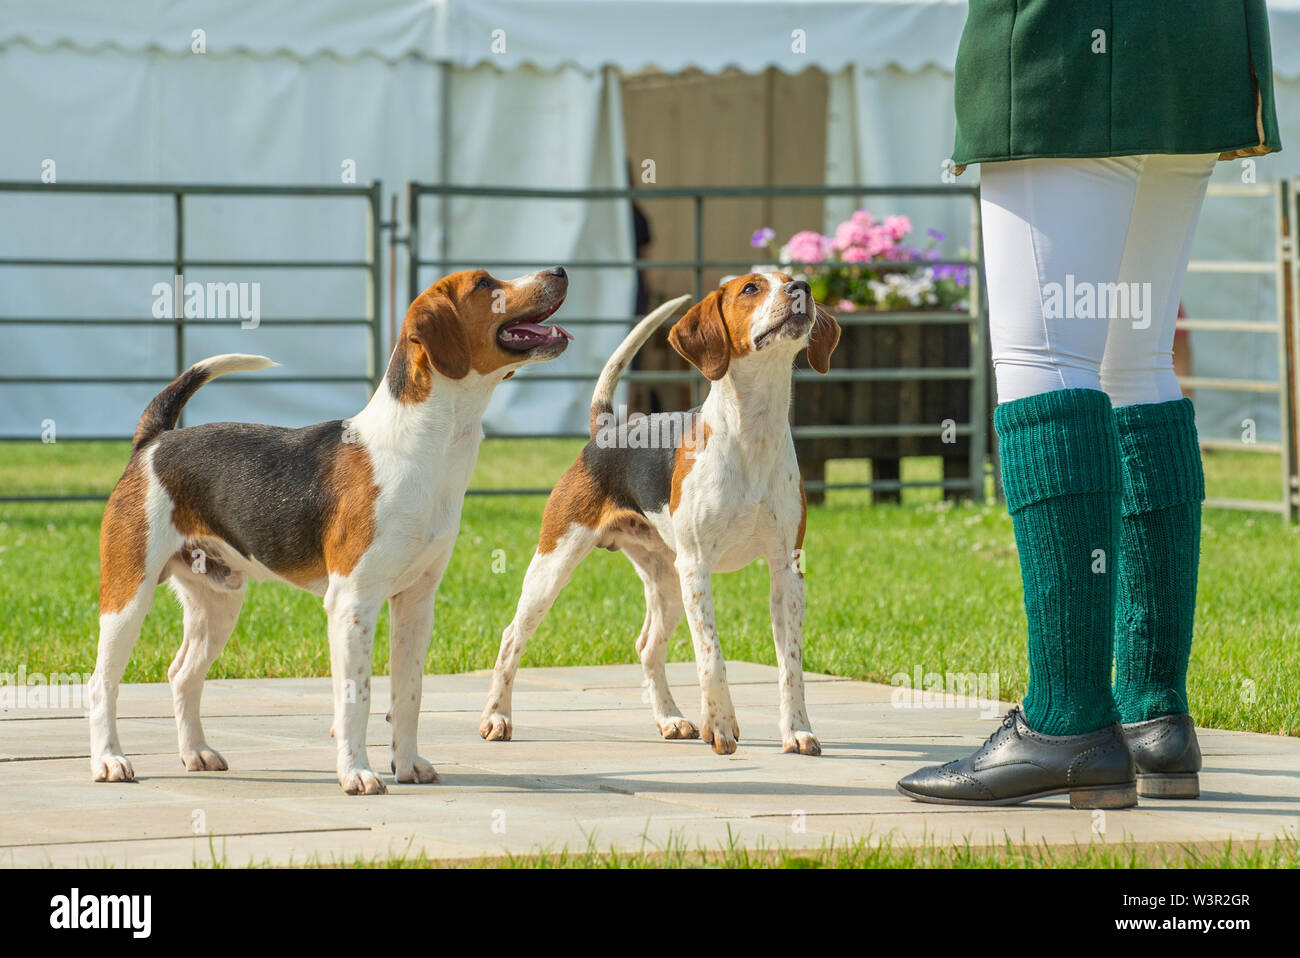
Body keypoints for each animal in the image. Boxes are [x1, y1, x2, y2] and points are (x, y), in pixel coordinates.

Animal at [91, 267, 574, 790]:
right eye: (485, 284)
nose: (559, 271)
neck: (426, 445)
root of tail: (154, 442)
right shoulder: (352, 603)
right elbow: (356, 697)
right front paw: (357, 772)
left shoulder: (415, 604)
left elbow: (408, 694)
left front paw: (407, 764)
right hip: (128, 596)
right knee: (101, 683)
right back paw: (109, 761)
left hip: (217, 602)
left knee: (182, 674)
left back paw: (195, 753)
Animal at [486, 270, 842, 753]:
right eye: (751, 288)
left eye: (792, 279)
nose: (801, 287)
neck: (752, 433)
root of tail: (607, 428)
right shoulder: (698, 568)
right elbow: (711, 656)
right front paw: (721, 724)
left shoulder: (787, 570)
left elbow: (790, 665)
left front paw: (798, 730)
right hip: (554, 566)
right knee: (511, 638)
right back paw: (497, 717)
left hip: (668, 582)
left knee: (647, 647)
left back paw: (670, 718)